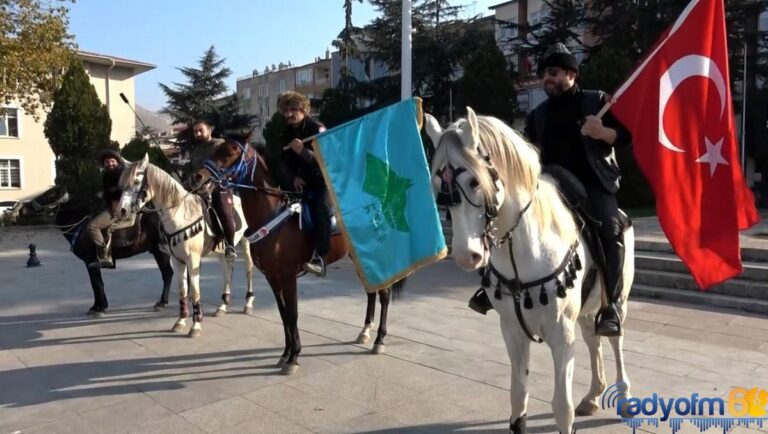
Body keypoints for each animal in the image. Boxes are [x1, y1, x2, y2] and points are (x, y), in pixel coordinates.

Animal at [117, 154, 255, 338]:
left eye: (137, 181)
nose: (121, 211)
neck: (179, 213)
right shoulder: (178, 260)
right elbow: (183, 290)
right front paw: (180, 321)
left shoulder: (193, 260)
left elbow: (194, 291)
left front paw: (196, 325)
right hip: (222, 251)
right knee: (228, 273)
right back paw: (223, 306)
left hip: (246, 243)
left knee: (248, 270)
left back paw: (248, 303)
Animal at [192, 134, 404, 374]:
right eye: (214, 150)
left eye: (229, 153)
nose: (197, 177)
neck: (272, 219)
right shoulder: (272, 276)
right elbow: (284, 314)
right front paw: (285, 354)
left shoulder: (287, 276)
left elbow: (292, 313)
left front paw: (294, 358)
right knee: (371, 292)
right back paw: (365, 332)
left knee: (384, 294)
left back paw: (379, 340)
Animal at [426, 107, 636, 432]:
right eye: (438, 186)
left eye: (474, 182)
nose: (465, 256)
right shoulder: (512, 331)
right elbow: (518, 397)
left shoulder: (561, 333)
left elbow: (562, 407)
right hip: (587, 310)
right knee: (593, 340)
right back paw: (592, 395)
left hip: (618, 300)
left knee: (615, 339)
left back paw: (624, 394)